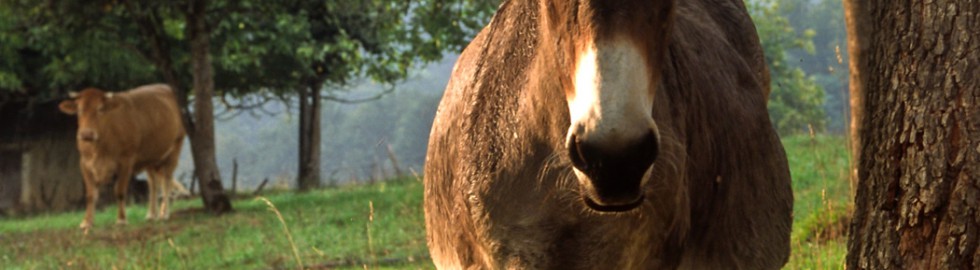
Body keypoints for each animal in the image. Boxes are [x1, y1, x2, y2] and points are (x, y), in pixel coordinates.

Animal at [58, 83, 186, 229]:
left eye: (100, 109)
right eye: (79, 110)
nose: (86, 134)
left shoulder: (126, 162)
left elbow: (119, 191)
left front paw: (121, 219)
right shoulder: (85, 163)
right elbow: (91, 195)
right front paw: (87, 222)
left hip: (175, 147)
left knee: (166, 181)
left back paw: (164, 213)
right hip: (150, 158)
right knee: (153, 184)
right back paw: (151, 214)